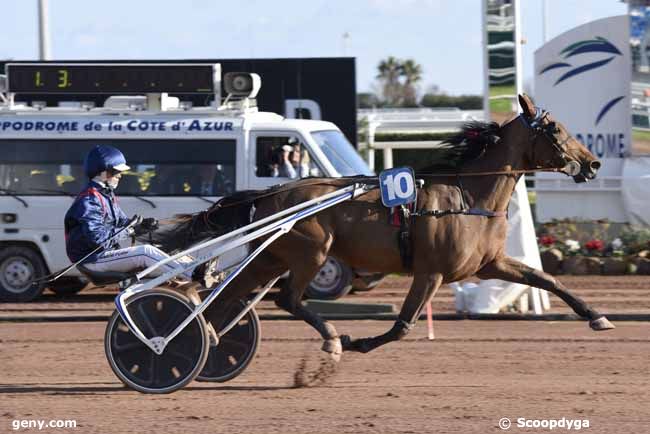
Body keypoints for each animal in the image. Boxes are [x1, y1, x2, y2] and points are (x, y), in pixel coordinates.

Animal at [157, 95, 612, 360]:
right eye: (555, 129)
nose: (592, 163)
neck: (468, 199)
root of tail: (270, 194)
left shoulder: (489, 264)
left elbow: (547, 279)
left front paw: (596, 316)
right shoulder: (431, 272)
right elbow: (403, 325)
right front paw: (358, 342)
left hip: (270, 257)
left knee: (230, 295)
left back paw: (201, 337)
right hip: (311, 252)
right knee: (286, 298)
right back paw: (330, 337)